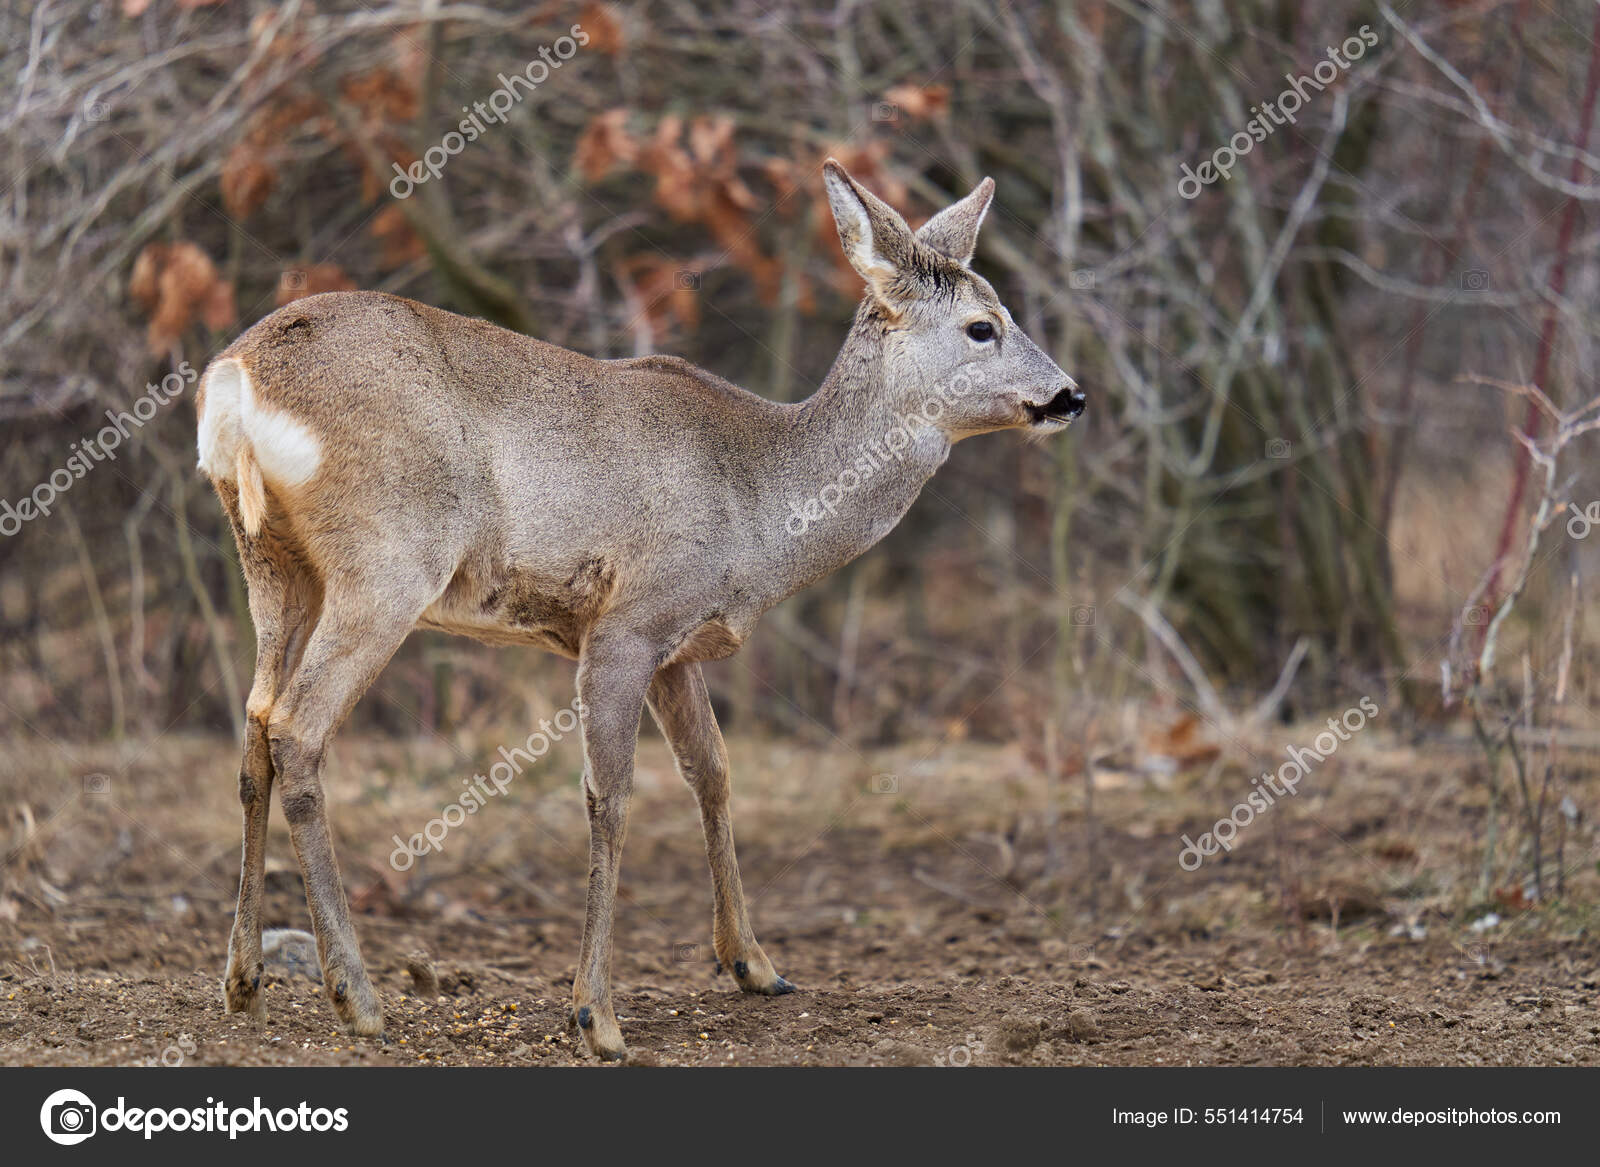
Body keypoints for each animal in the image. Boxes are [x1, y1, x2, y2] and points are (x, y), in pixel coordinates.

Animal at [193, 159, 1081, 1062]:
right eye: (983, 326)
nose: (1069, 395)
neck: (762, 503)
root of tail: (236, 378)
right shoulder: (628, 620)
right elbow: (610, 794)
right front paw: (597, 1014)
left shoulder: (679, 645)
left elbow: (712, 771)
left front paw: (755, 964)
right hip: (387, 560)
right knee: (298, 728)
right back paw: (357, 997)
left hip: (273, 565)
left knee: (254, 724)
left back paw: (244, 981)